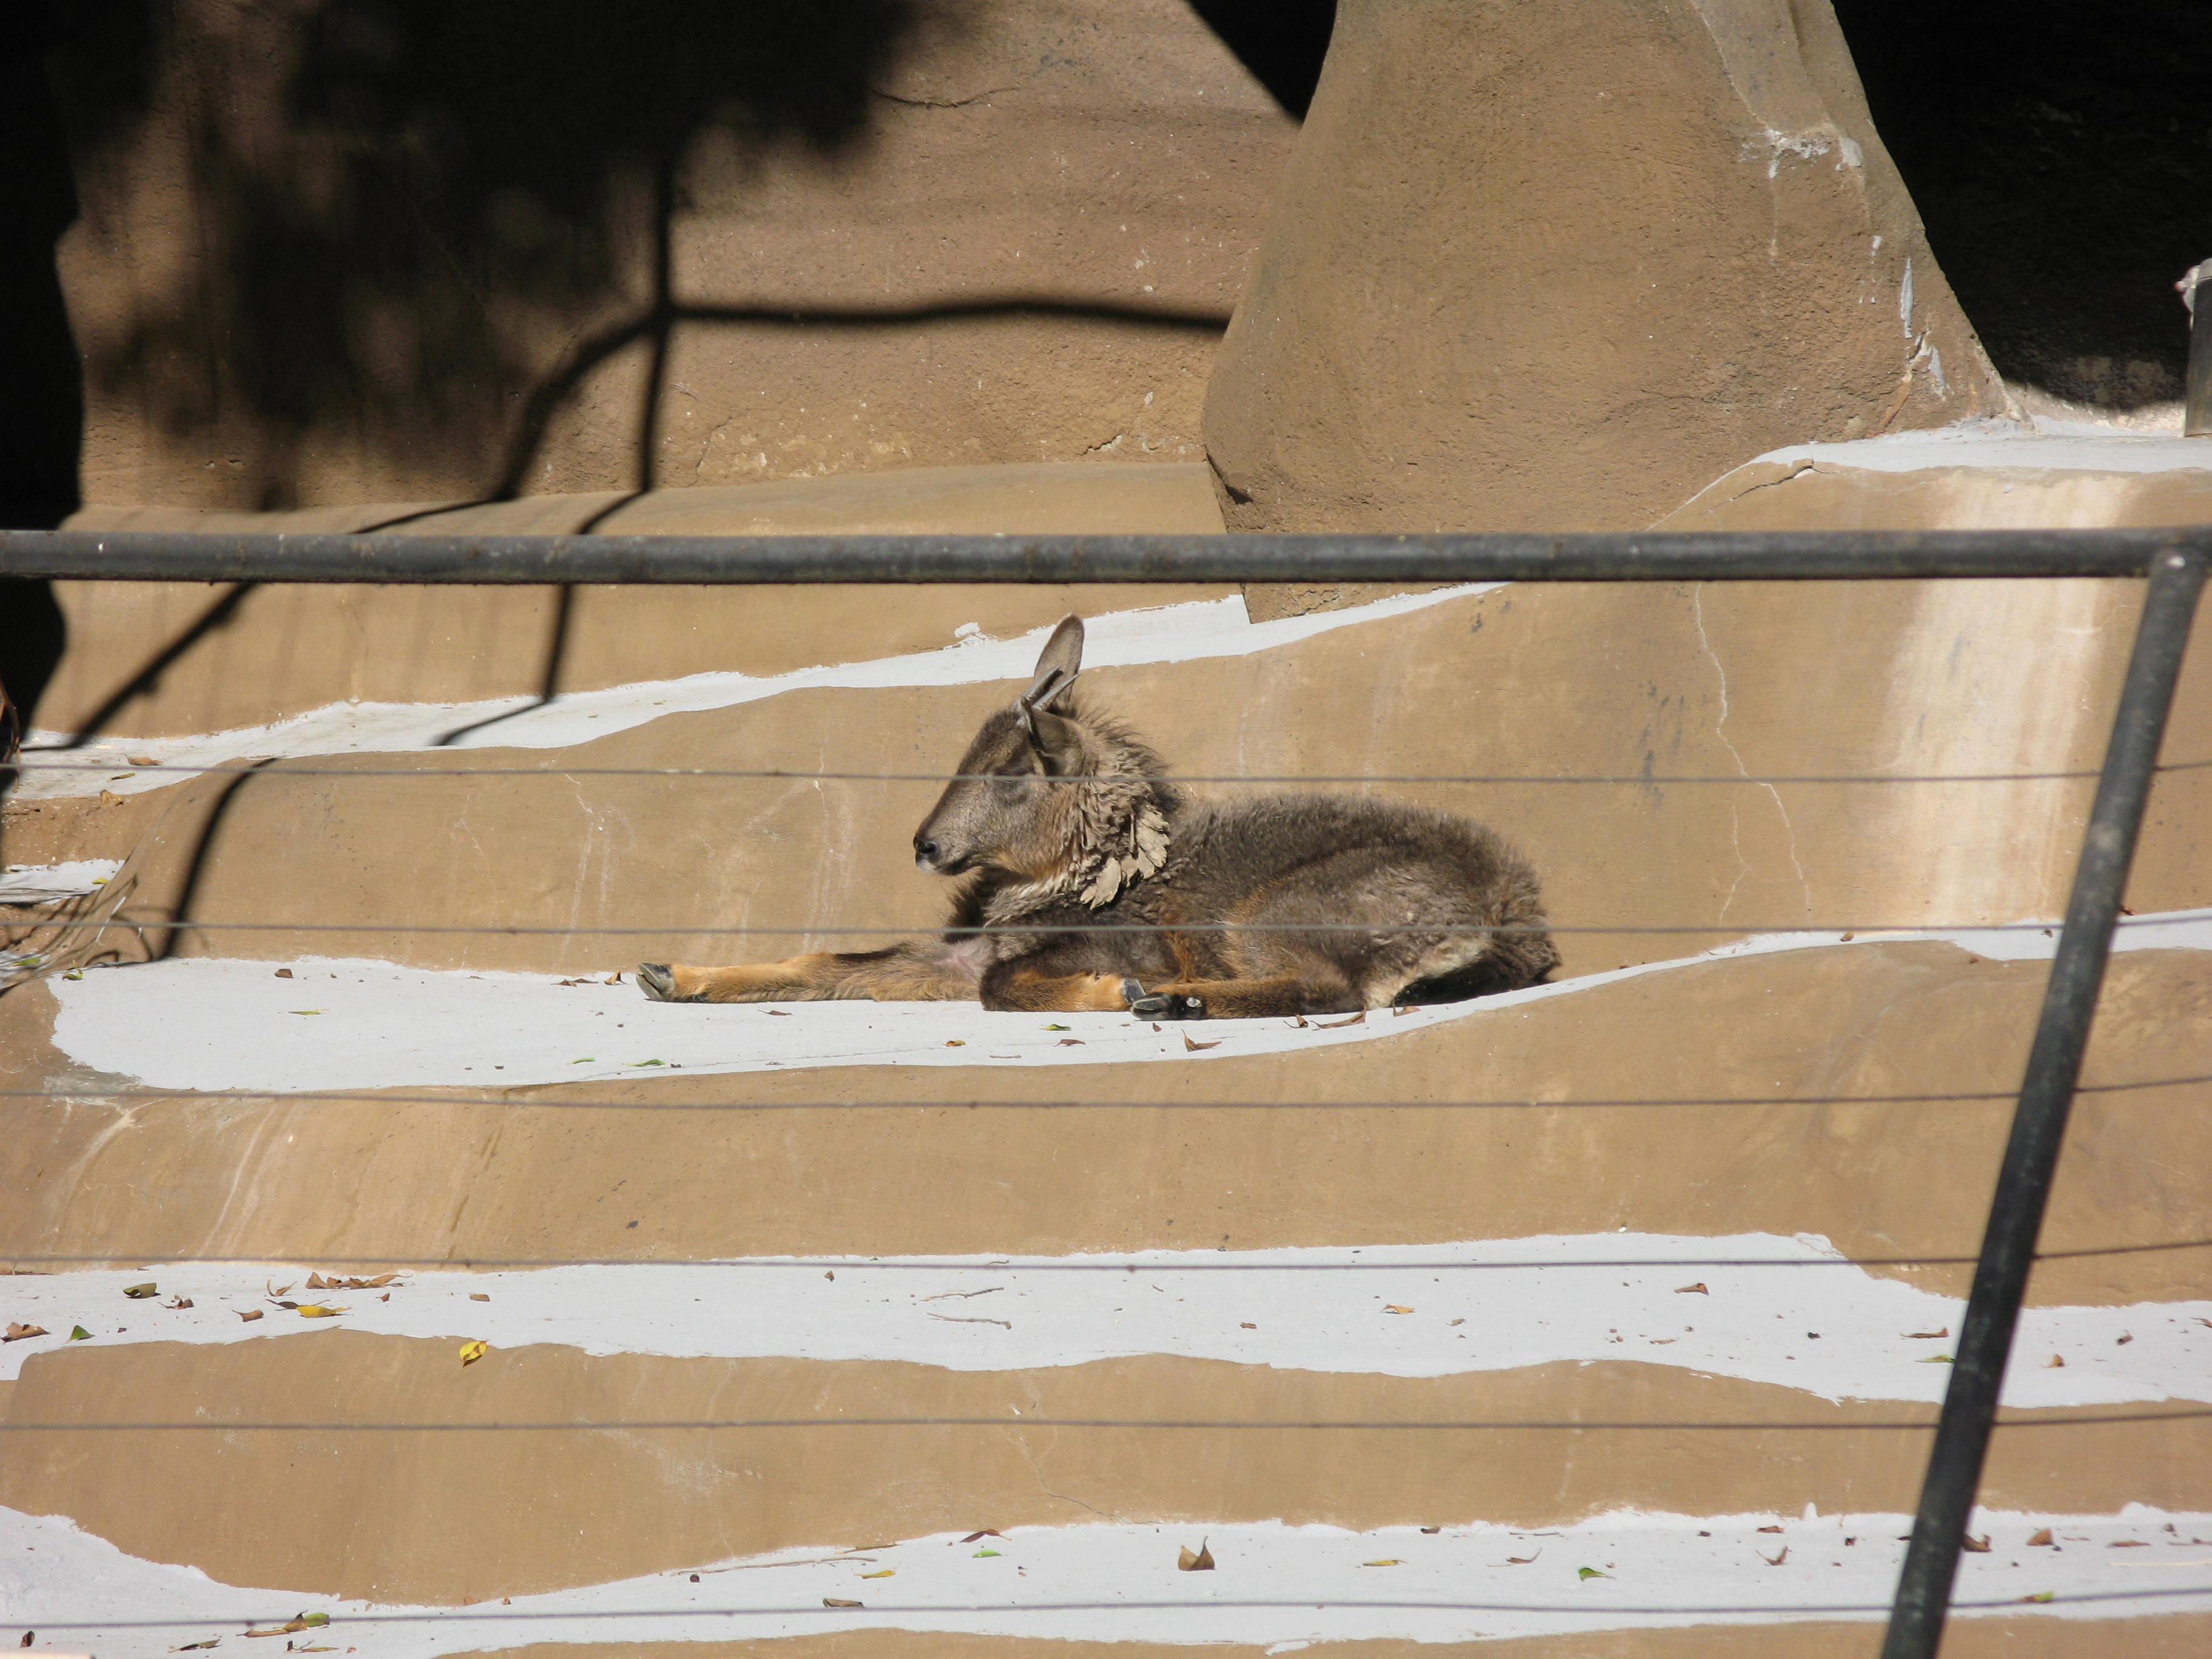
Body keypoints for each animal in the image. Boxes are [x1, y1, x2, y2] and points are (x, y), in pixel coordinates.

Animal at [637, 615, 1558, 1019]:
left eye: (1012, 773)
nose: (927, 845)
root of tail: (1514, 915)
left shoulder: (1116, 941)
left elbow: (1006, 989)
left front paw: (1113, 990)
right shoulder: (950, 959)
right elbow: (829, 961)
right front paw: (672, 975)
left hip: (1275, 912)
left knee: (1333, 991)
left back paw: (1174, 1002)